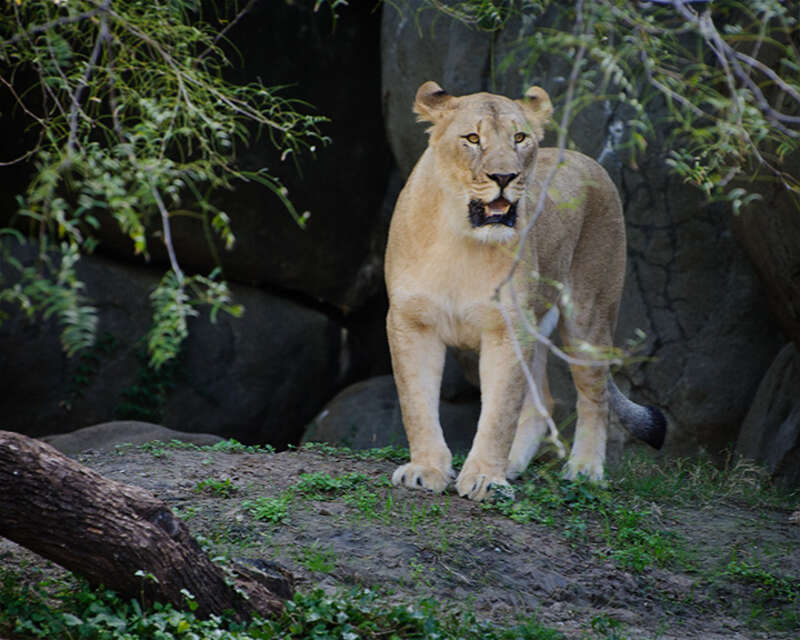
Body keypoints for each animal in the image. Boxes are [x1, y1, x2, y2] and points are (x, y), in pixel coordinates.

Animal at [384, 81, 666, 501]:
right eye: (472, 138)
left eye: (519, 138)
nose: (504, 176)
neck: (460, 240)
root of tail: (586, 159)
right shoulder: (410, 320)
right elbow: (415, 403)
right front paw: (426, 470)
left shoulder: (508, 328)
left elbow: (499, 411)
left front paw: (485, 478)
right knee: (540, 403)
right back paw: (515, 466)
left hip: (589, 316)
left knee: (594, 394)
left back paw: (584, 469)